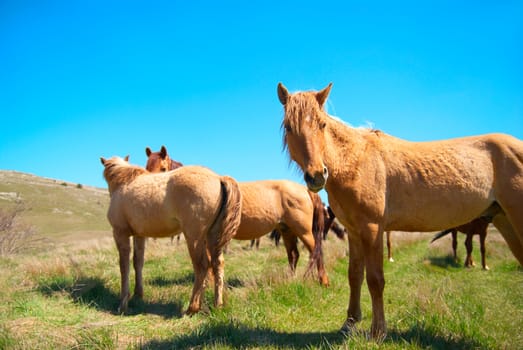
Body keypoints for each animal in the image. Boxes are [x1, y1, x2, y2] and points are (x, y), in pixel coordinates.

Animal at [100, 156, 244, 314]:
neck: (123, 183)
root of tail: (218, 178)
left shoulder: (120, 233)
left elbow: (123, 266)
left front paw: (123, 304)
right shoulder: (140, 235)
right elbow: (138, 262)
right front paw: (138, 295)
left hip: (194, 237)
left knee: (202, 266)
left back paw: (192, 307)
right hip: (212, 237)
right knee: (218, 264)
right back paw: (217, 305)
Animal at [146, 146, 328, 286]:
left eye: (163, 168)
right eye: (147, 167)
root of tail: (304, 189)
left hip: (303, 231)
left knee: (316, 252)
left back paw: (323, 282)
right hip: (286, 230)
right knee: (293, 255)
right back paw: (290, 280)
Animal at [278, 82, 523, 340]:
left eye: (322, 124)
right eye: (289, 127)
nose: (317, 175)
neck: (357, 161)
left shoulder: (372, 229)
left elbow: (375, 279)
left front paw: (378, 331)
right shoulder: (354, 232)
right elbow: (354, 276)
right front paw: (350, 323)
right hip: (505, 220)